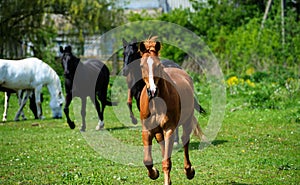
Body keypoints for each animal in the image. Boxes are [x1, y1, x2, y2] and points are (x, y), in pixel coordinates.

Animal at [138, 39, 202, 184]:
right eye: (142, 66)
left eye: (159, 65)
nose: (152, 91)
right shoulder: (147, 130)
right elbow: (147, 160)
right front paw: (154, 173)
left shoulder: (169, 130)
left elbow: (167, 162)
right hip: (159, 133)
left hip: (187, 121)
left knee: (185, 141)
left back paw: (189, 171)